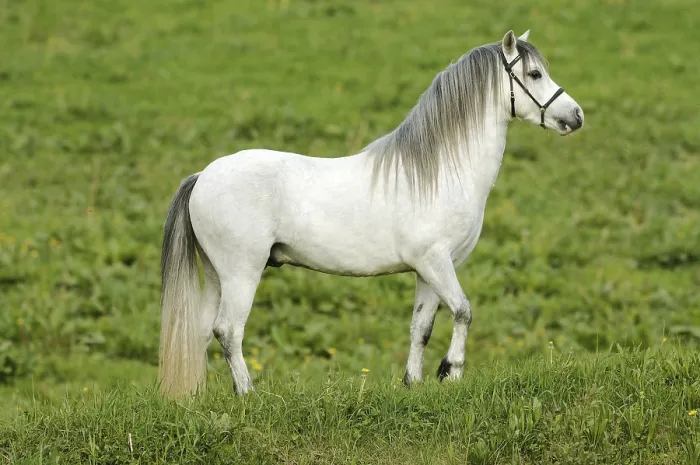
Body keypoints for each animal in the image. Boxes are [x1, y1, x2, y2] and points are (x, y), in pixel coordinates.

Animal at [158, 30, 584, 398]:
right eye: (534, 74)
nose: (576, 116)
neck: (439, 171)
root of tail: (203, 176)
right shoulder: (436, 262)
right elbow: (463, 311)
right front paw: (451, 372)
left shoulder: (428, 271)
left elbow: (421, 327)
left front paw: (413, 383)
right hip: (241, 272)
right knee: (229, 331)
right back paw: (248, 395)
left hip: (217, 275)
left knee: (201, 333)